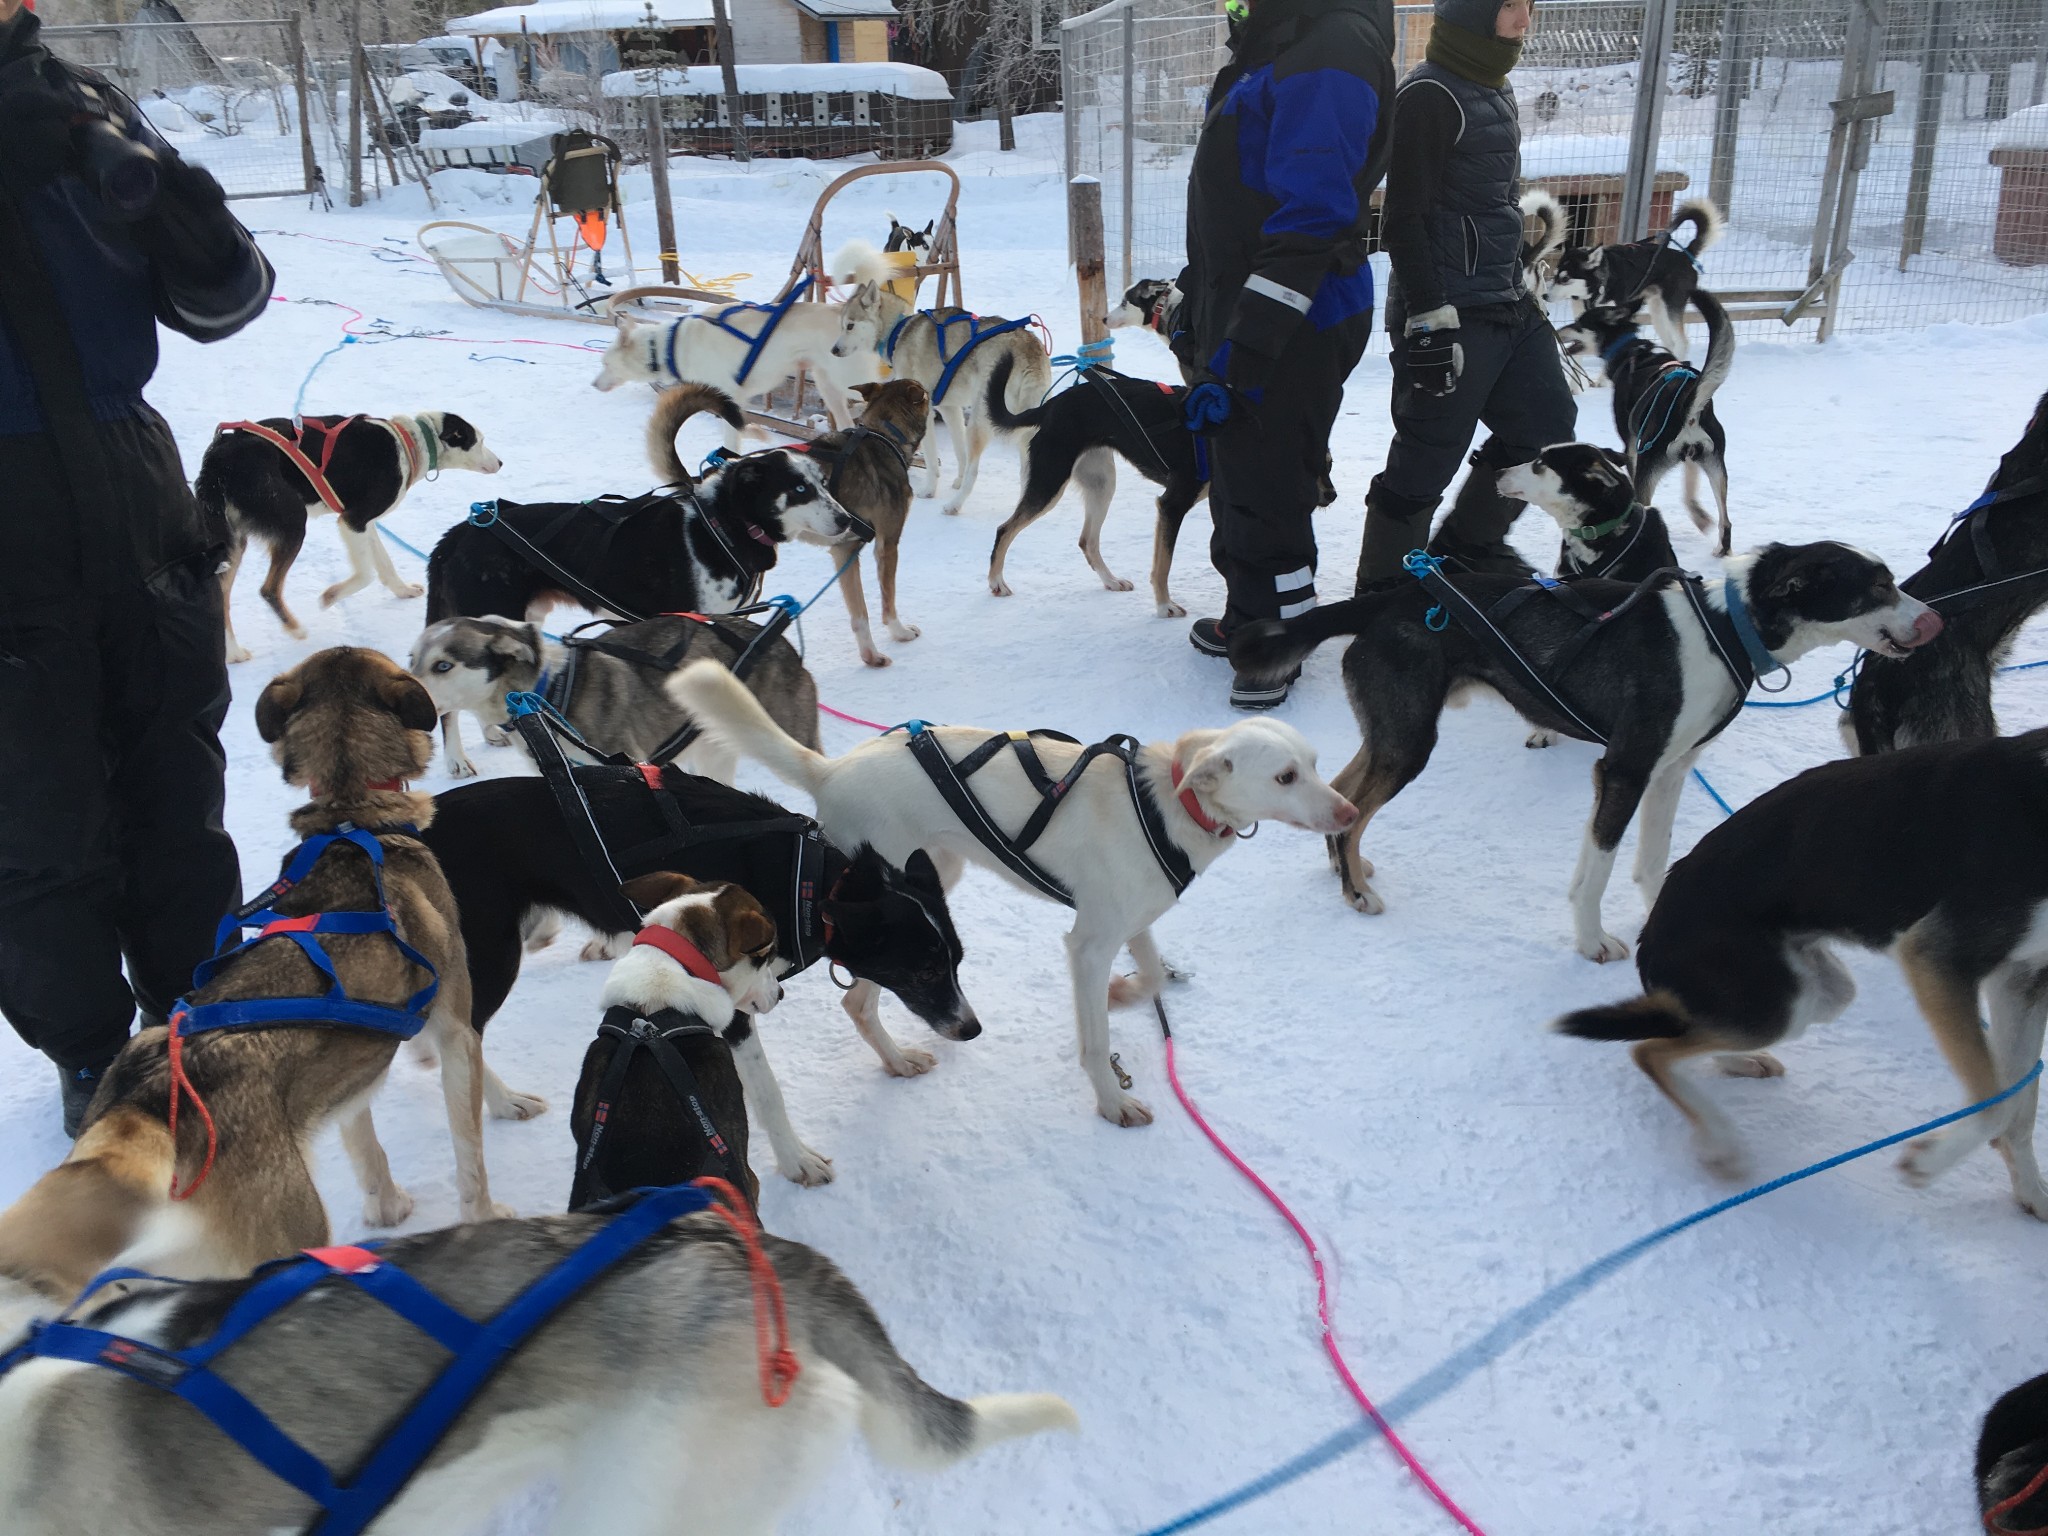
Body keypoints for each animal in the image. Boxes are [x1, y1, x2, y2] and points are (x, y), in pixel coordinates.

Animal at [0, 643, 520, 1327]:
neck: (351, 819)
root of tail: (144, 1115)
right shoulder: (454, 1028)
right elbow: (471, 1153)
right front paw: (485, 1217)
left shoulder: (352, 1072)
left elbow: (367, 1149)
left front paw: (387, 1209)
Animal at [1556, 288, 1736, 561]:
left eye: (1578, 324)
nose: (1558, 330)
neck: (1631, 350)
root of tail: (1688, 404)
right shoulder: (1692, 460)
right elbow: (1690, 490)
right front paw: (1699, 517)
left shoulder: (1631, 445)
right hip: (1716, 467)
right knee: (1726, 521)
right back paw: (1721, 547)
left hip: (1647, 467)